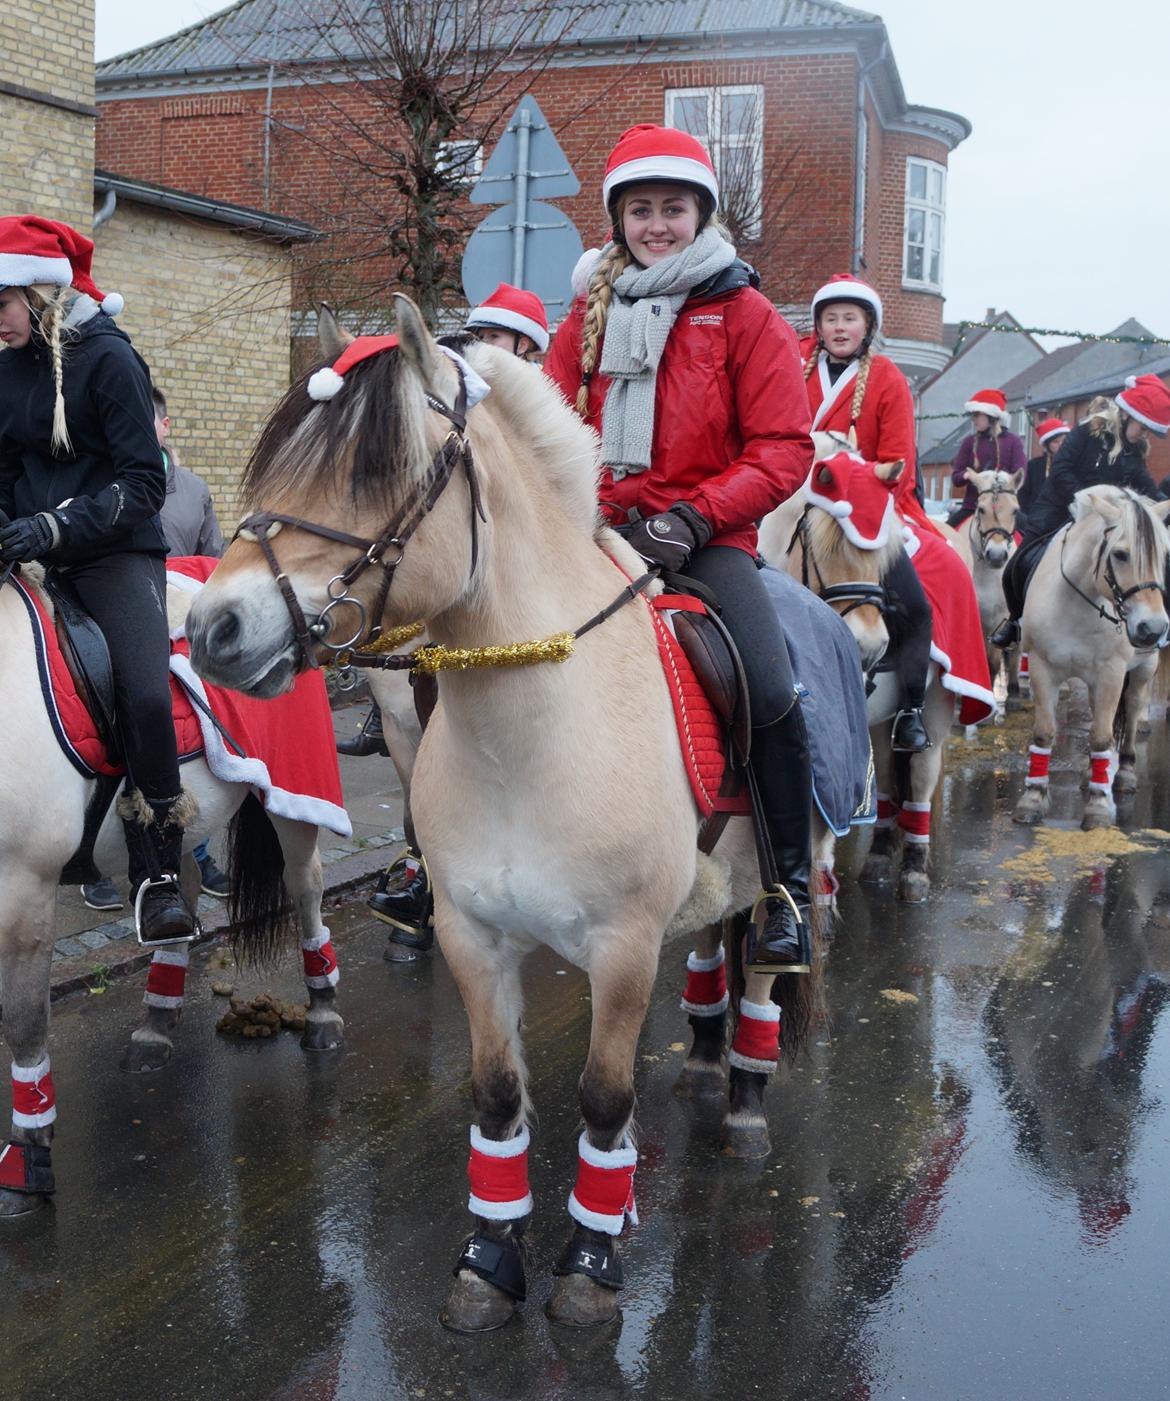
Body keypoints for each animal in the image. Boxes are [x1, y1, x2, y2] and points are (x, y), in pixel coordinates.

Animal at [0, 566, 346, 1216]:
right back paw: (155, 1025)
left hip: (291, 793)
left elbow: (25, 1019)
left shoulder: (24, 887)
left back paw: (322, 1013)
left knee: (306, 887)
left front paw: (26, 1157)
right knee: (177, 890)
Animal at [184, 304, 851, 1333]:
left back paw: (742, 1099)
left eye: (374, 470)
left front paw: (589, 1262)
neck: (528, 736)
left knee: (765, 976)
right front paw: (490, 1259)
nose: (214, 630)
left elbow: (605, 1101)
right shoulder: (474, 935)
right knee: (716, 945)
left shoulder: (622, 948)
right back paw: (705, 1063)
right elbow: (497, 1099)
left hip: (795, 855)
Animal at [1008, 487, 1165, 823]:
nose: (1153, 628)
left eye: (1163, 555)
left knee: (1133, 710)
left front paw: (1098, 806)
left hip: (1144, 667)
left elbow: (1102, 737)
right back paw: (1091, 774)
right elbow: (1043, 734)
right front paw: (1033, 798)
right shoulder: (1042, 669)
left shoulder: (1111, 674)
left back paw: (1123, 774)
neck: (1077, 603)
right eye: (1120, 554)